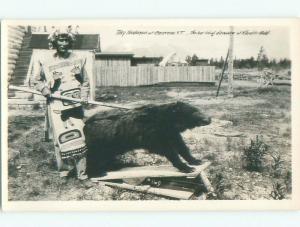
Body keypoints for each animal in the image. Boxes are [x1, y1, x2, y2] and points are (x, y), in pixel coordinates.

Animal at [83, 101, 212, 176]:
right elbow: (167, 149)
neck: (168, 121)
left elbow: (181, 145)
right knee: (93, 156)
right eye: (196, 111)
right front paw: (185, 167)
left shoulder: (171, 132)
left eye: (198, 109)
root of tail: (86, 123)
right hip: (99, 142)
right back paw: (96, 172)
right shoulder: (152, 133)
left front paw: (195, 160)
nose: (209, 118)